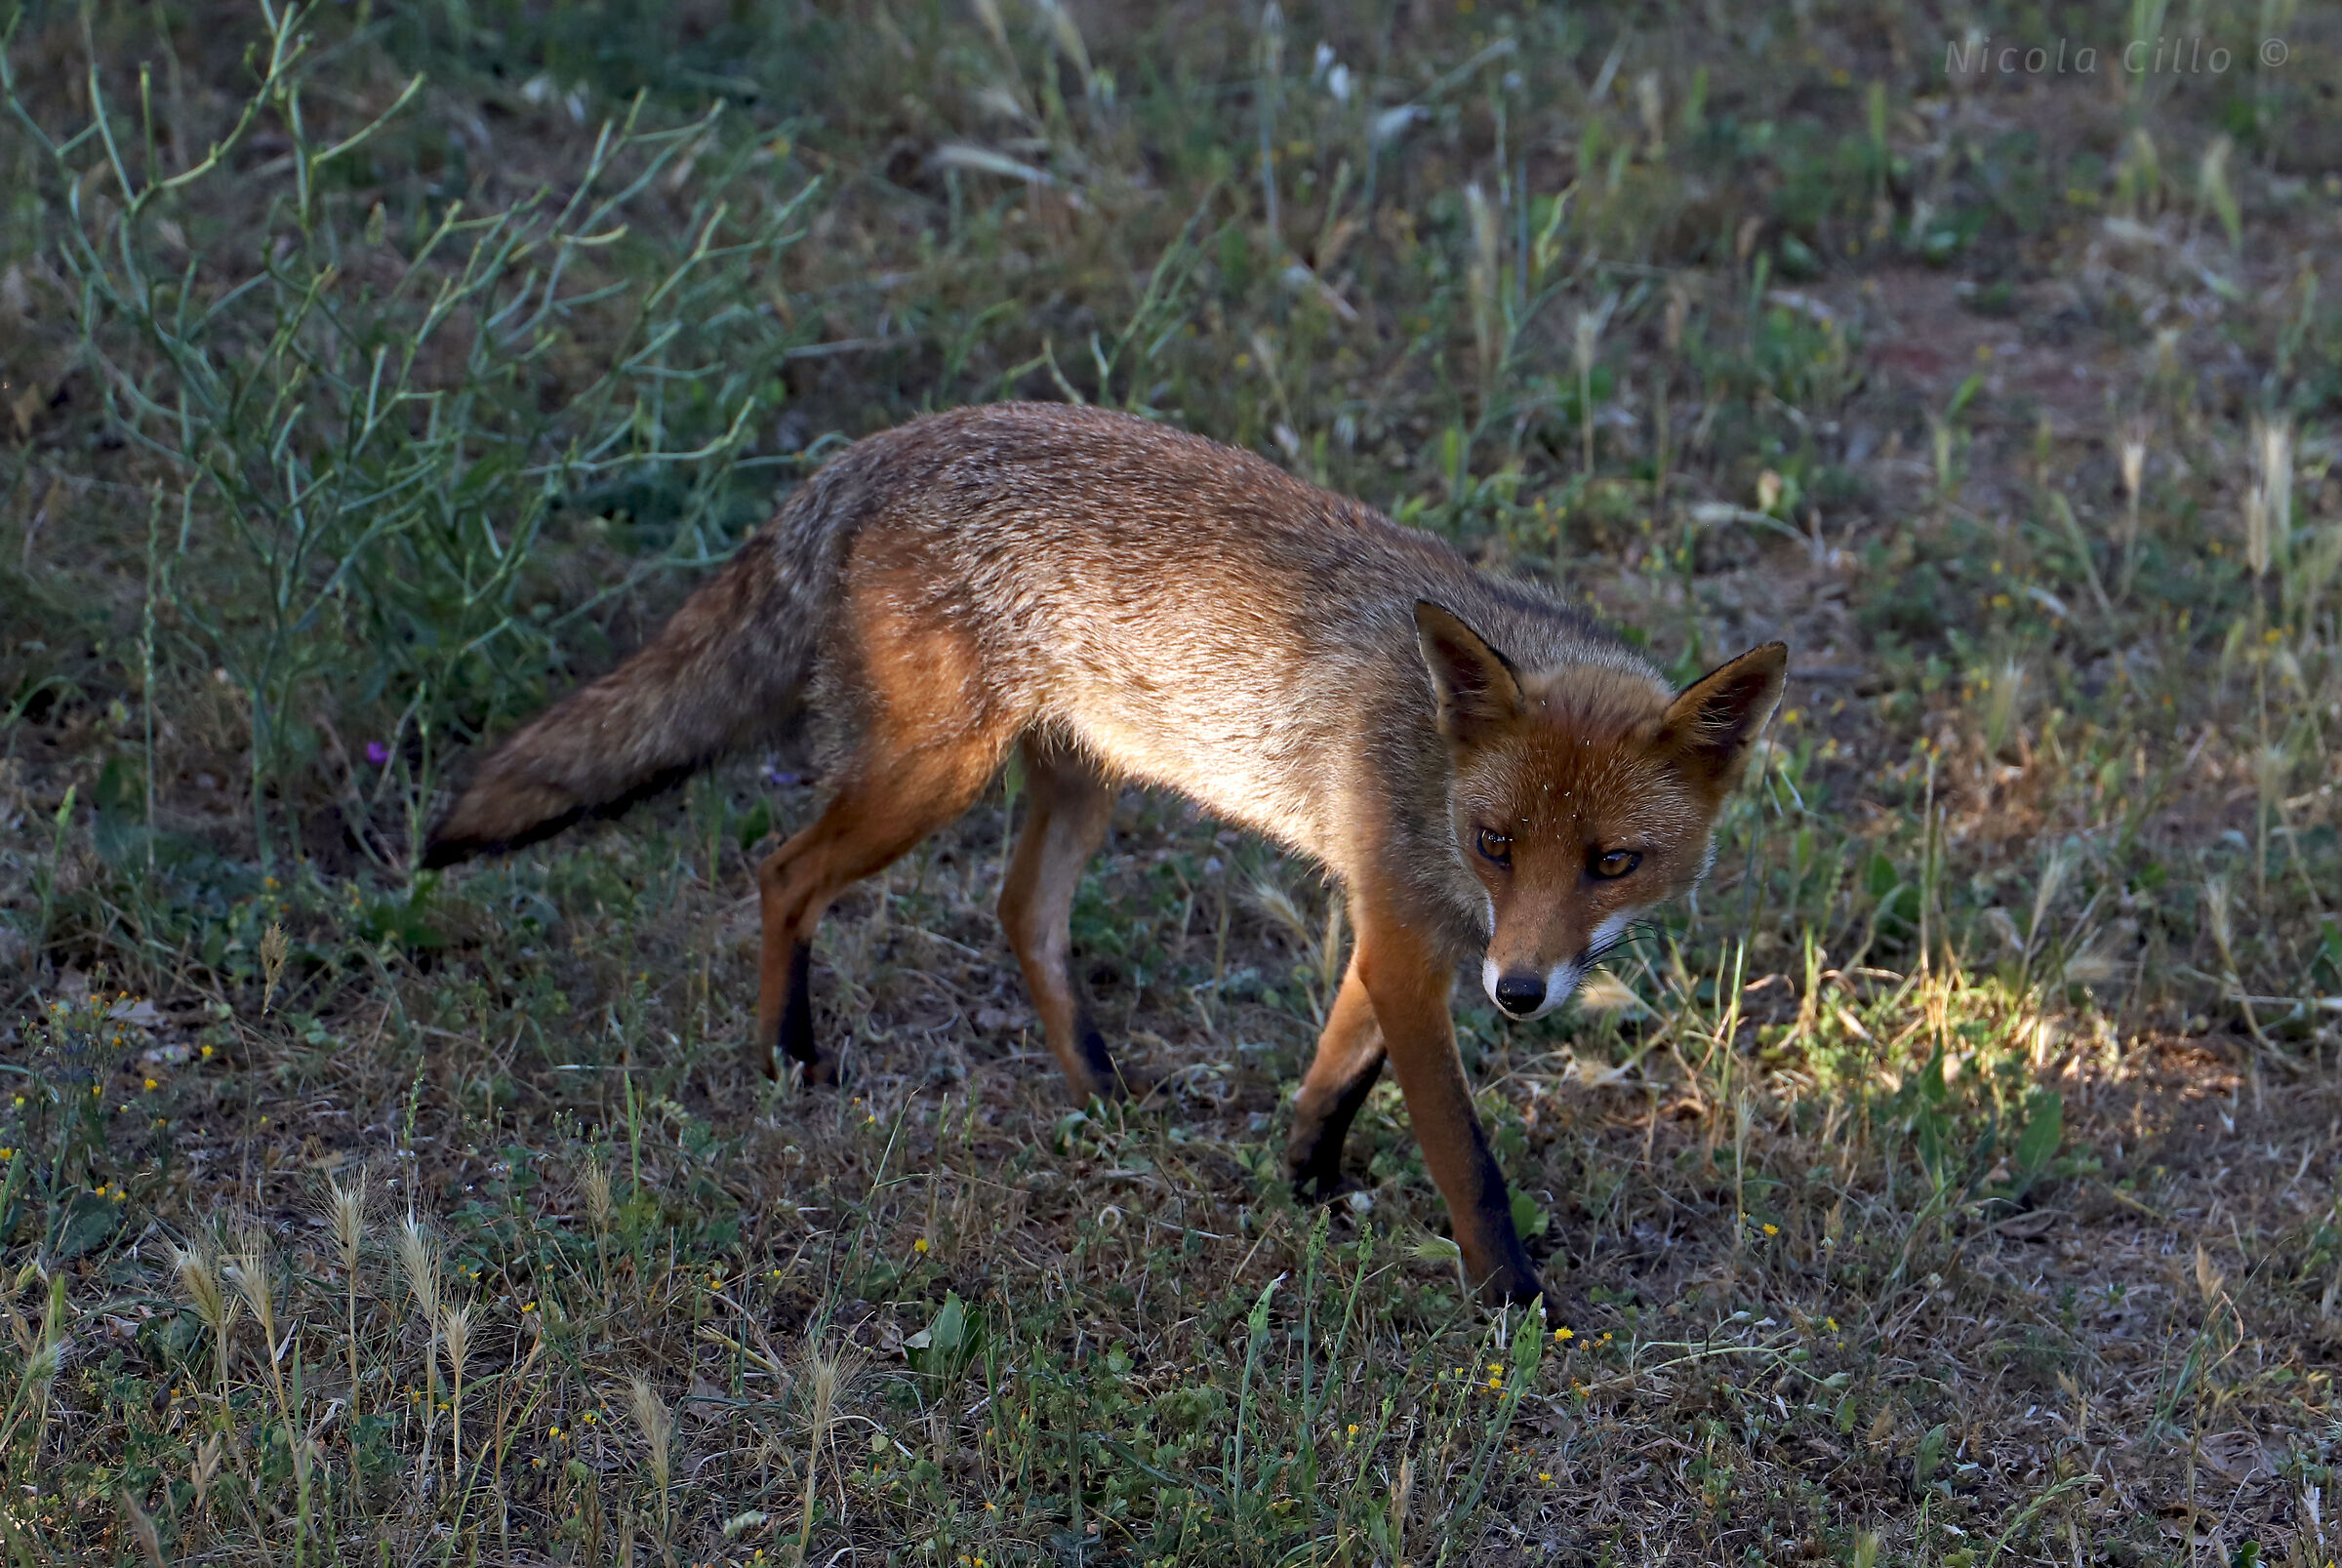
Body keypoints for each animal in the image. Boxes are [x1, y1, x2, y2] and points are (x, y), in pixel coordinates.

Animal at [423, 401, 1785, 1306]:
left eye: (1613, 861)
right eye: (1497, 840)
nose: (1522, 992)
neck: (1425, 763)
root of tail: (878, 448)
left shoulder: (1402, 935)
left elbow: (1332, 1080)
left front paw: (1303, 1185)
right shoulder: (1409, 938)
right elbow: (1468, 1158)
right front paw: (1518, 1308)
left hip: (1079, 778)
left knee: (1020, 910)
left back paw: (1099, 1090)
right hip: (928, 778)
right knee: (782, 872)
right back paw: (787, 1057)